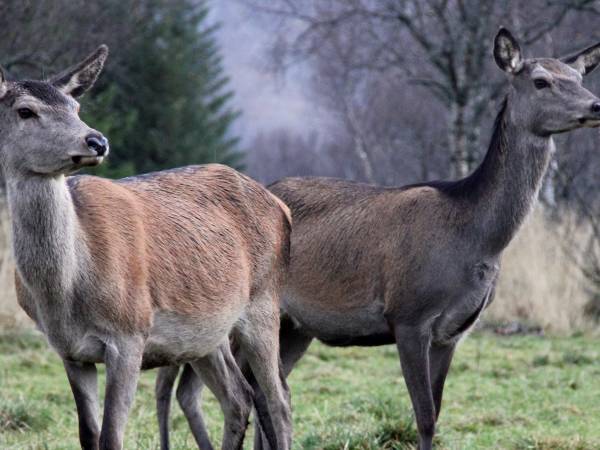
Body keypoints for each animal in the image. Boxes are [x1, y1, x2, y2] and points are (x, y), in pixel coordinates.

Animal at [0, 46, 290, 450]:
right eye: (25, 110)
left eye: (76, 107)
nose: (97, 141)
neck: (64, 292)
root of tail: (281, 207)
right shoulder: (69, 351)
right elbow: (89, 435)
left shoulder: (130, 334)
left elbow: (110, 437)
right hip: (208, 332)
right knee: (238, 396)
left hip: (265, 301)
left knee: (279, 399)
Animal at [154, 29, 600, 450]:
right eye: (541, 81)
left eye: (579, 76)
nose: (596, 105)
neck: (476, 238)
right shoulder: (409, 314)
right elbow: (424, 417)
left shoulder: (453, 332)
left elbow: (437, 411)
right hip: (234, 320)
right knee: (194, 387)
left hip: (294, 328)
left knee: (257, 392)